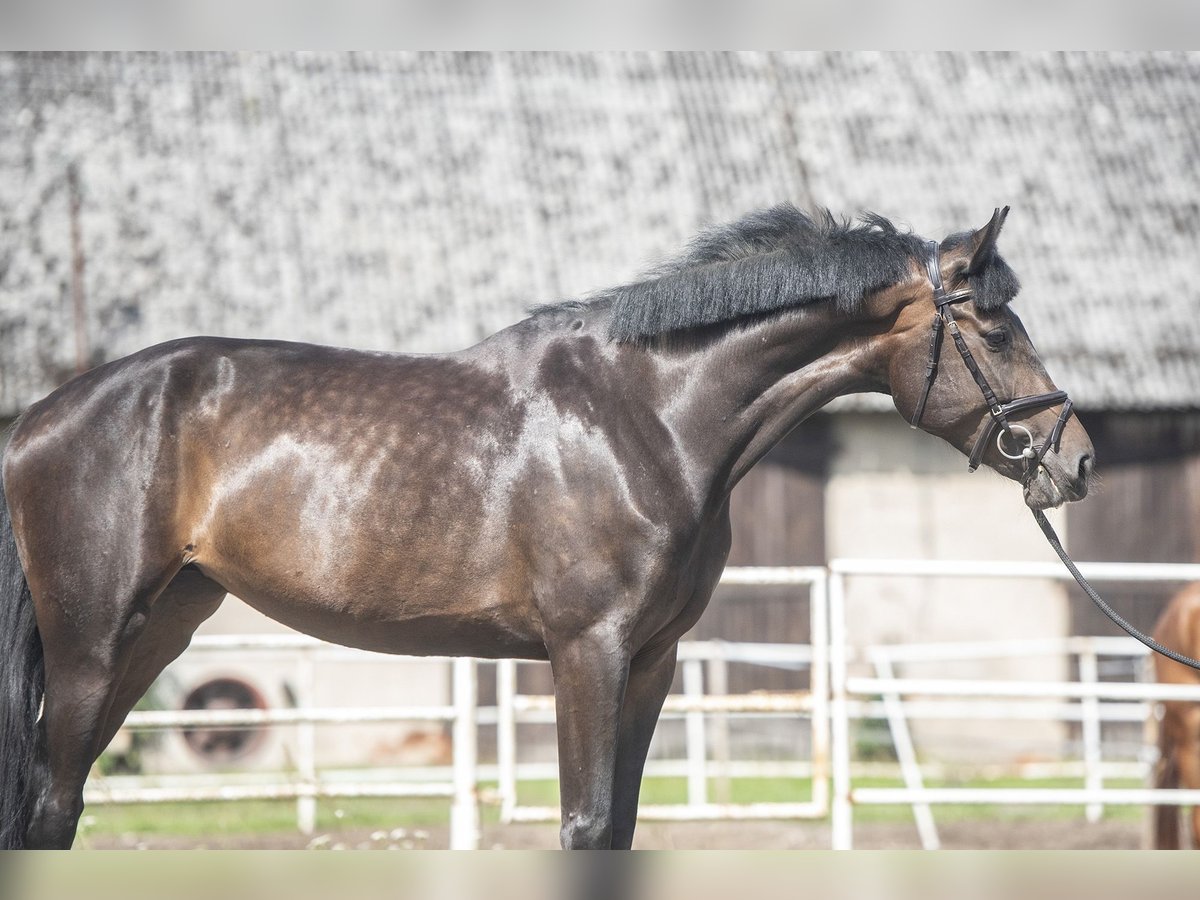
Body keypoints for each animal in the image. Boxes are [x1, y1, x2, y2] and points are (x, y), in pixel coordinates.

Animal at [0, 206, 1094, 854]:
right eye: (997, 330)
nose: (1074, 461)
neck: (649, 417)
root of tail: (43, 416)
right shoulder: (586, 652)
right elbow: (582, 822)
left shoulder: (650, 661)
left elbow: (619, 828)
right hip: (92, 641)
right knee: (50, 805)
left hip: (158, 630)